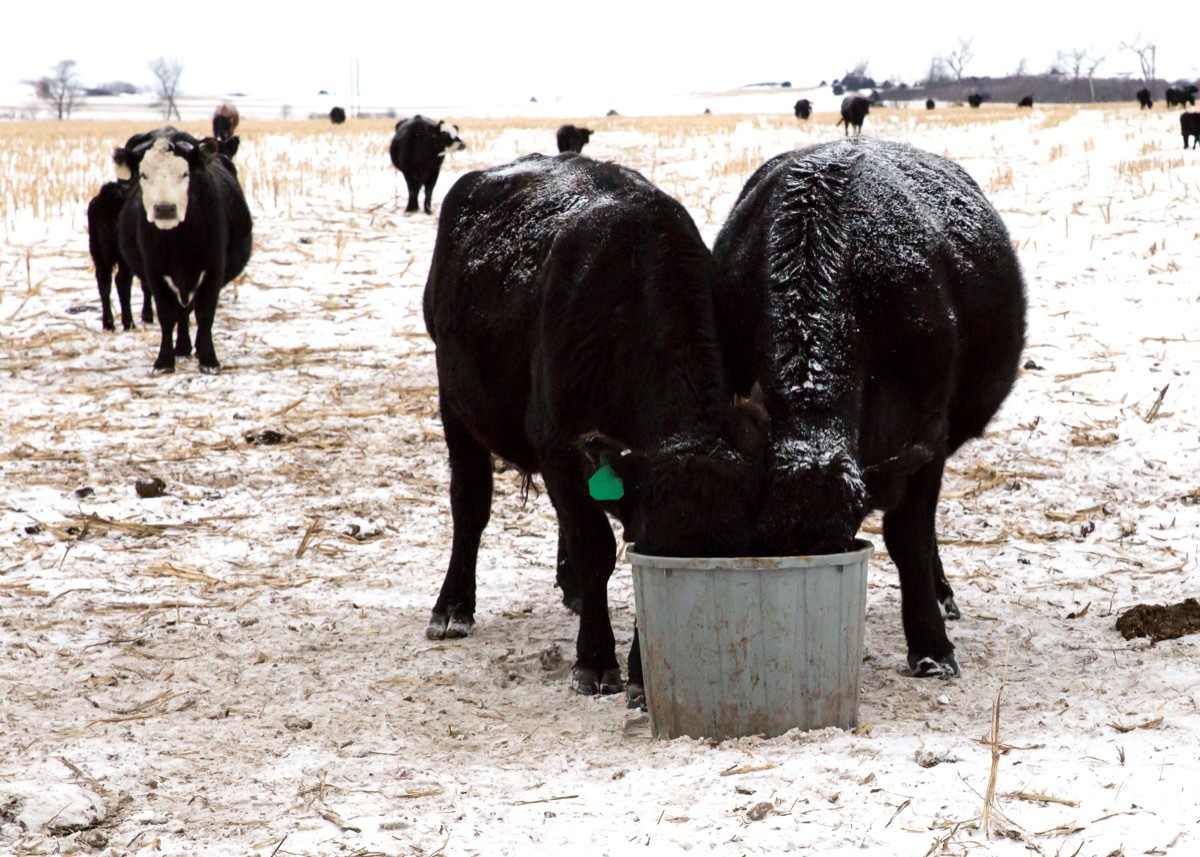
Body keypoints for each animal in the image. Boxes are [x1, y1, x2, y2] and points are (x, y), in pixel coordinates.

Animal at [87, 177, 152, 331]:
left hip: (100, 252)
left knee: (104, 281)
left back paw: (108, 323)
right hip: (123, 256)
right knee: (122, 280)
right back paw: (129, 322)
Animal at [113, 125, 252, 372]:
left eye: (185, 174)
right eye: (143, 175)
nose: (164, 209)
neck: (179, 241)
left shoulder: (214, 268)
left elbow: (205, 313)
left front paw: (208, 360)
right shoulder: (154, 271)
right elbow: (168, 315)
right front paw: (164, 361)